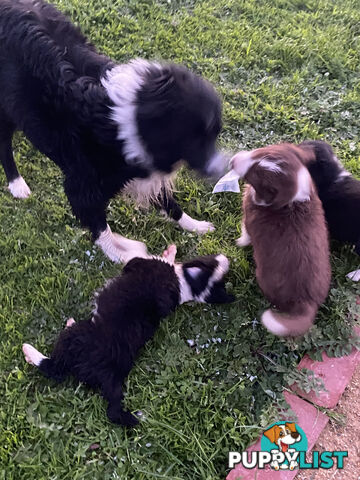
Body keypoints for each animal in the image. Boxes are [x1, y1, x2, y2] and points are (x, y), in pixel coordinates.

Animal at [0, 0, 225, 262]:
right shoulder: (82, 185)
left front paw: (195, 226)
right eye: (195, 139)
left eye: (213, 136)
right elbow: (101, 230)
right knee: (4, 145)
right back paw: (17, 184)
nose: (222, 168)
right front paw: (122, 254)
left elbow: (169, 203)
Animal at [22, 246, 232, 426]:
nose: (226, 258)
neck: (186, 285)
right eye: (212, 262)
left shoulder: (140, 263)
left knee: (52, 366)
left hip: (72, 340)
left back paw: (32, 349)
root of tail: (109, 373)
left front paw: (169, 251)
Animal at [232, 144, 330, 336]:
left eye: (257, 175)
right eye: (260, 150)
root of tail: (308, 303)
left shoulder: (248, 219)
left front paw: (239, 242)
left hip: (263, 278)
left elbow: (246, 233)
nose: (232, 160)